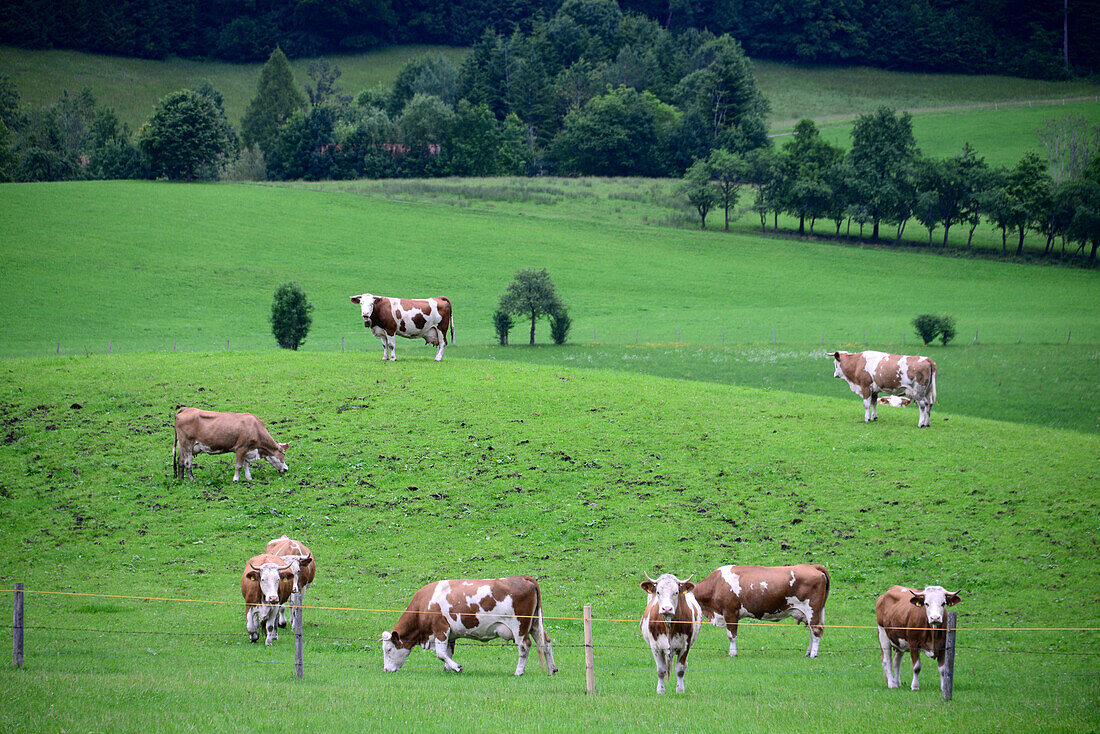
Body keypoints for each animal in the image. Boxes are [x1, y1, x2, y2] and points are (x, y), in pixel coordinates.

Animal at [380, 572, 554, 677]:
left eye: (388, 649)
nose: (386, 669)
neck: (424, 603)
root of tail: (523, 577)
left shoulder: (440, 629)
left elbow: (441, 653)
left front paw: (457, 667)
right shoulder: (450, 634)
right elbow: (448, 652)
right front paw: (448, 669)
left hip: (519, 626)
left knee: (524, 646)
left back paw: (519, 672)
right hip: (535, 624)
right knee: (546, 642)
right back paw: (552, 669)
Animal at [690, 563, 827, 660]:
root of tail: (812, 566)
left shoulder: (730, 612)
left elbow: (731, 636)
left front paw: (732, 654)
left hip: (812, 610)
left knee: (816, 630)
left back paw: (813, 655)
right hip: (815, 612)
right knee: (813, 632)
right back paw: (808, 653)